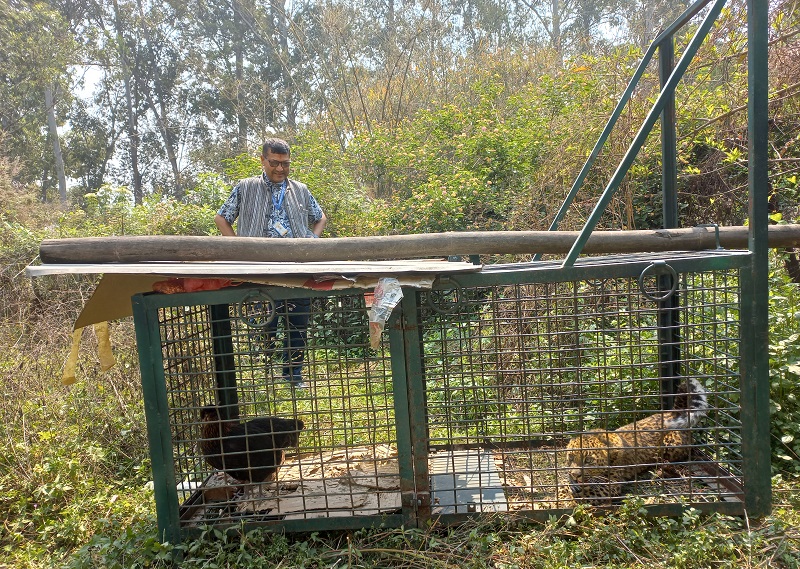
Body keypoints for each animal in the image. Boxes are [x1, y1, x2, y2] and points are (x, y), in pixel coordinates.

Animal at [564, 380, 708, 504]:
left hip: (671, 446)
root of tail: (671, 413)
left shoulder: (611, 485)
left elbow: (584, 495)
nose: (575, 475)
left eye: (588, 460)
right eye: (570, 458)